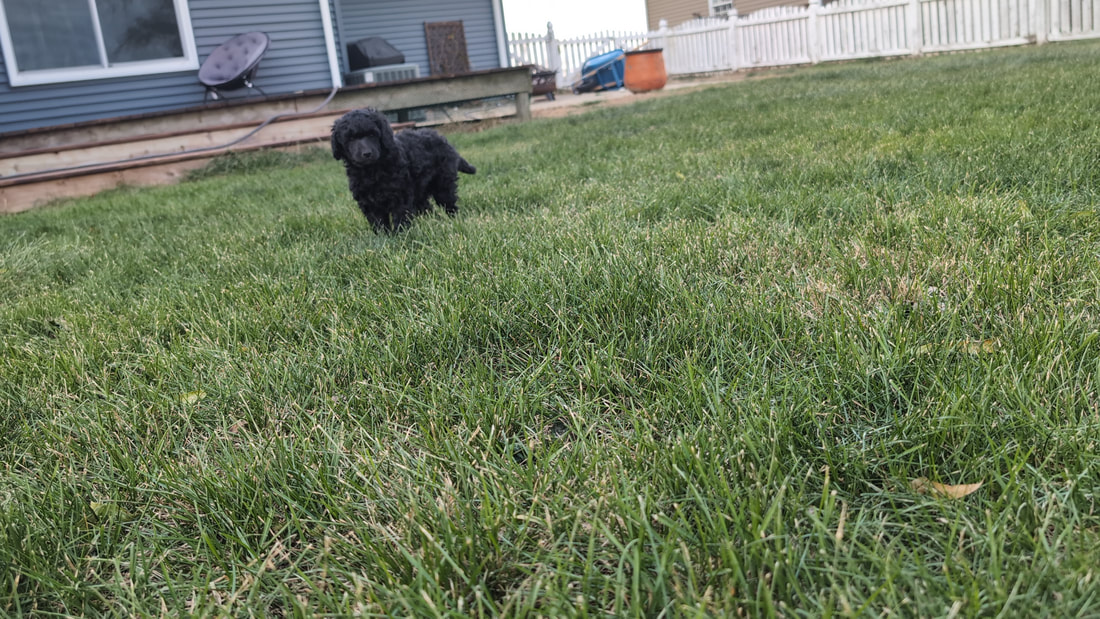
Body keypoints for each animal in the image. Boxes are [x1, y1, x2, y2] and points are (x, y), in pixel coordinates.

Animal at [331, 108, 476, 233]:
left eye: (372, 134)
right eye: (350, 139)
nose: (367, 153)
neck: (372, 170)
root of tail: (445, 142)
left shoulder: (400, 195)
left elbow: (400, 215)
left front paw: (400, 235)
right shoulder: (368, 201)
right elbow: (378, 220)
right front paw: (383, 237)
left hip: (443, 183)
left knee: (448, 203)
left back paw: (453, 220)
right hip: (420, 192)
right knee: (427, 207)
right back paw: (435, 222)